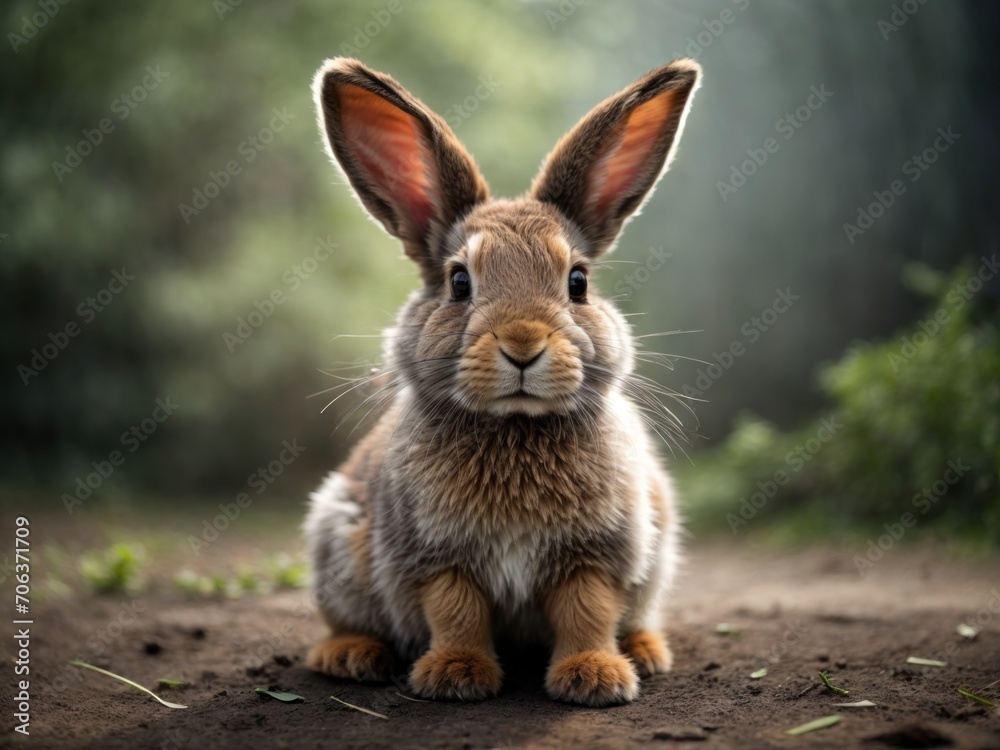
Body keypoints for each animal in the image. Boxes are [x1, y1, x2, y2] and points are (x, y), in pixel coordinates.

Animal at [304, 56, 701, 706]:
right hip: (336, 538)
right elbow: (456, 612)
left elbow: (587, 611)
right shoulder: (437, 557)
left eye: (578, 281)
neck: (515, 425)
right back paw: (350, 656)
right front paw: (455, 676)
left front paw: (595, 677)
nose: (522, 345)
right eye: (459, 282)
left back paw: (644, 651)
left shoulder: (595, 556)